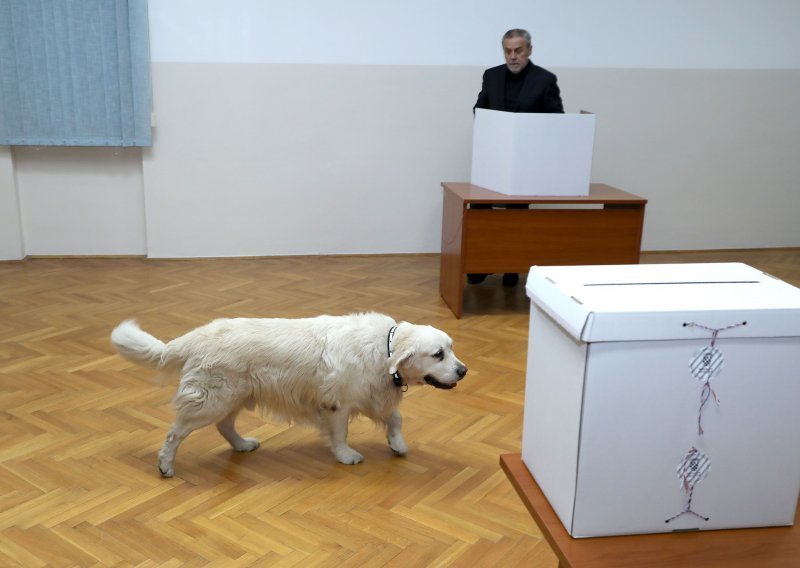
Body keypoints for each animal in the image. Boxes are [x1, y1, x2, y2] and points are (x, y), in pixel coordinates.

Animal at [109, 312, 466, 478]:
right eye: (438, 355)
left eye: (451, 349)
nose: (463, 370)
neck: (384, 348)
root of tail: (195, 336)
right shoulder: (337, 404)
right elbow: (341, 434)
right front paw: (346, 456)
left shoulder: (372, 395)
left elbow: (395, 418)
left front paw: (398, 444)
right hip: (212, 400)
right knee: (175, 433)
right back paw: (165, 465)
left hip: (234, 396)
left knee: (224, 427)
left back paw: (242, 445)